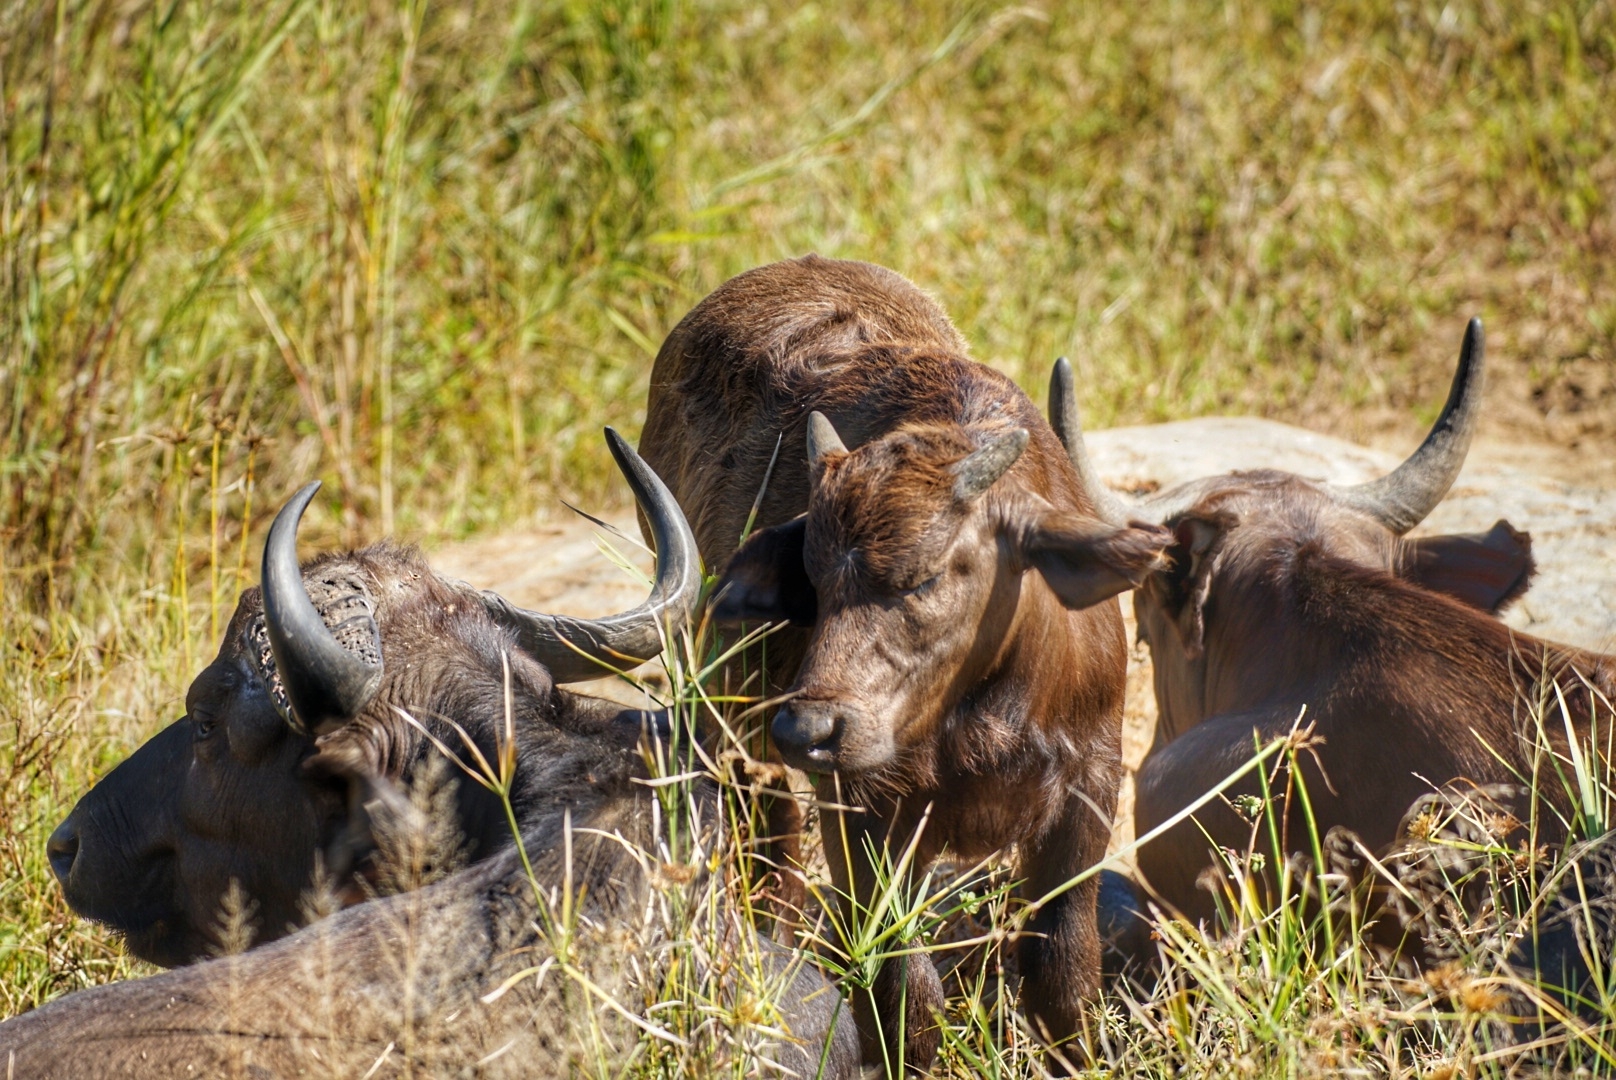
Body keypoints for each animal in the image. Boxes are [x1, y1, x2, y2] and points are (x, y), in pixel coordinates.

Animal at [636, 255, 1182, 1073]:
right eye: (813, 581)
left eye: (925, 578)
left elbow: (1062, 966)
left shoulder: (1089, 783)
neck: (984, 711)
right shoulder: (862, 813)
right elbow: (903, 986)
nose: (809, 729)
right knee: (768, 844)